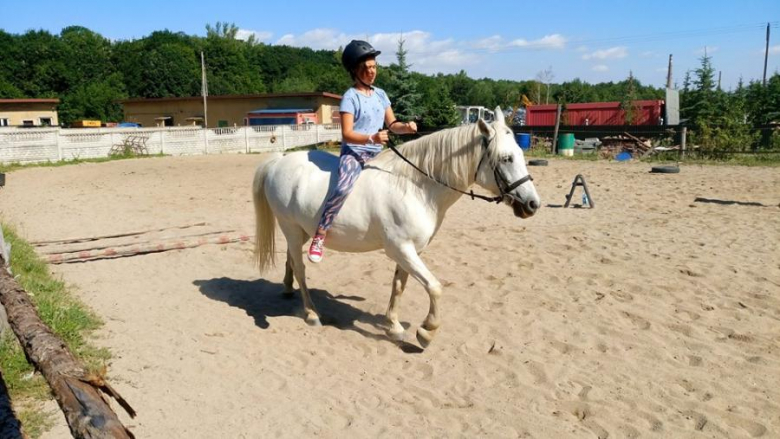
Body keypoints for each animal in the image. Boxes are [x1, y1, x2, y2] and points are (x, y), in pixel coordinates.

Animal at [253, 107, 540, 350]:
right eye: (506, 158)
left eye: (521, 155)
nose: (533, 204)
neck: (415, 187)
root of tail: (280, 161)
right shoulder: (400, 249)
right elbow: (434, 287)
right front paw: (426, 332)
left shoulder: (411, 251)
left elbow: (399, 286)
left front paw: (393, 326)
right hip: (290, 228)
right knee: (301, 268)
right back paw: (311, 313)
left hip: (302, 231)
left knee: (292, 259)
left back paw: (288, 289)